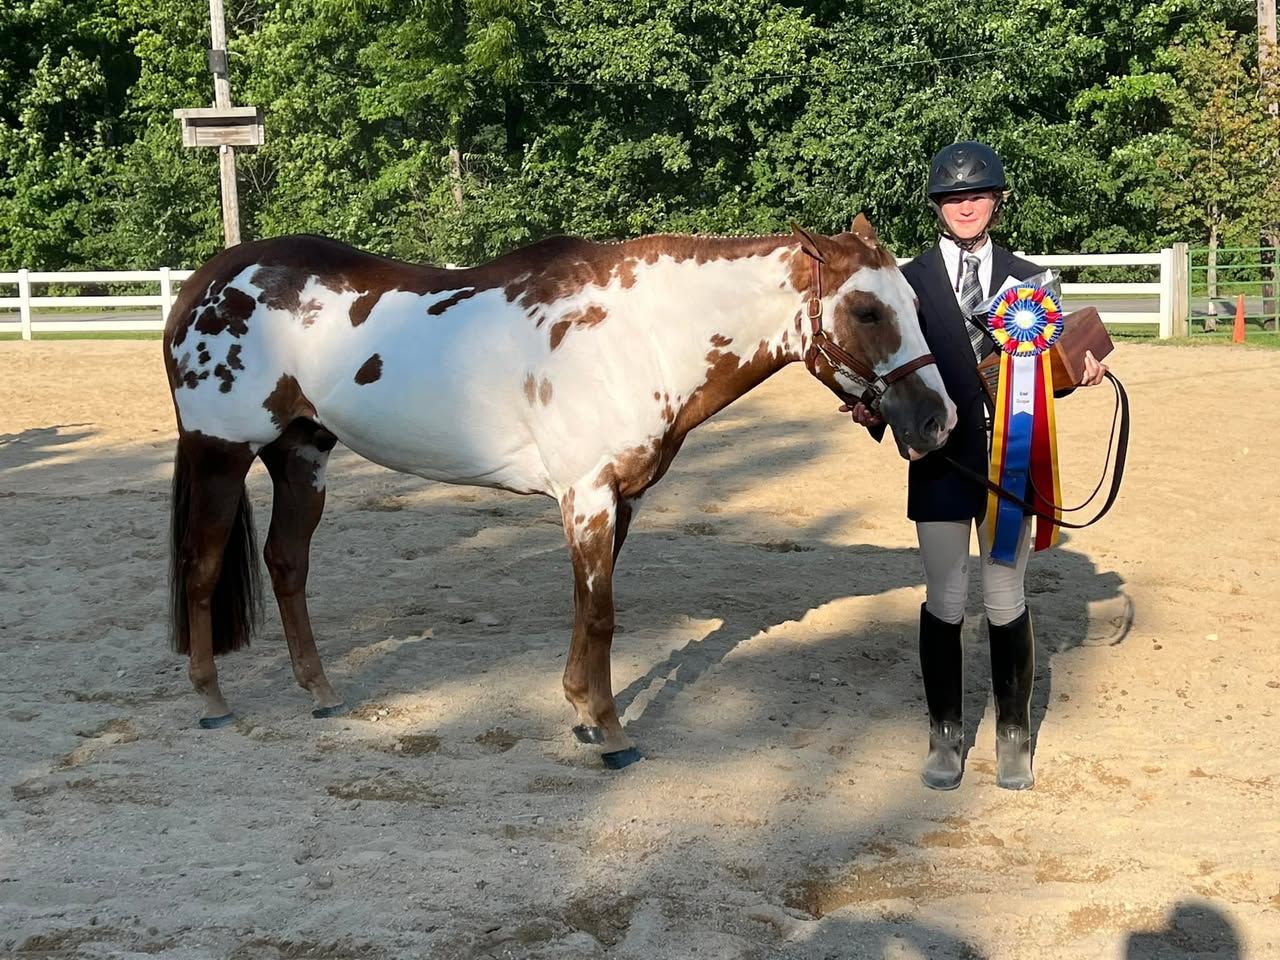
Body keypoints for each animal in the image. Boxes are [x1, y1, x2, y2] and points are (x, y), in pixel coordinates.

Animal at [163, 214, 956, 768]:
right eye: (866, 311)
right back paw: (210, 700)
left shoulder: (618, 499)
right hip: (221, 454)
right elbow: (601, 615)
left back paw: (321, 694)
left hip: (301, 453)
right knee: (201, 568)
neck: (637, 337)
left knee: (287, 564)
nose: (937, 420)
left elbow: (586, 609)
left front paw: (580, 711)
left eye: (916, 303)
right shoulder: (590, 496)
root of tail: (207, 284)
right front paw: (610, 732)